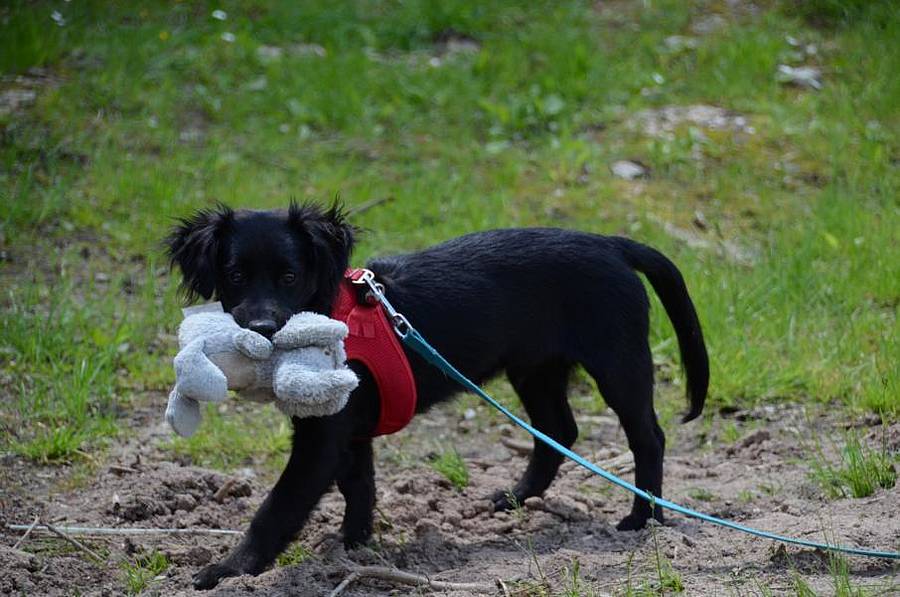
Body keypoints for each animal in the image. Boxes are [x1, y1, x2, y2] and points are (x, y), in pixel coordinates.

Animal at [166, 202, 709, 589]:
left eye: (290, 277)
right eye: (235, 275)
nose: (262, 328)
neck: (335, 311)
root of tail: (612, 244)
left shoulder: (322, 441)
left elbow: (278, 508)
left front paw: (230, 570)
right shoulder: (348, 430)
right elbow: (359, 488)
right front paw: (352, 549)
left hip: (617, 361)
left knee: (647, 436)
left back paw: (643, 518)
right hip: (534, 367)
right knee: (558, 429)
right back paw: (516, 498)